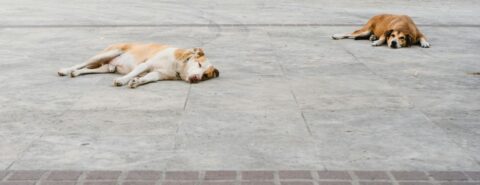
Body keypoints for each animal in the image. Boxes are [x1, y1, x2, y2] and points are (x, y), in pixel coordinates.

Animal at [57, 43, 219, 88]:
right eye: (199, 64)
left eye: (205, 76)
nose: (196, 78)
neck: (178, 65)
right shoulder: (145, 65)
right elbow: (133, 73)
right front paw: (123, 80)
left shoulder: (158, 74)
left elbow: (148, 78)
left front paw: (137, 82)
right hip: (108, 53)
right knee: (82, 63)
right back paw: (66, 70)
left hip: (105, 67)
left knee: (89, 69)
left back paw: (76, 73)